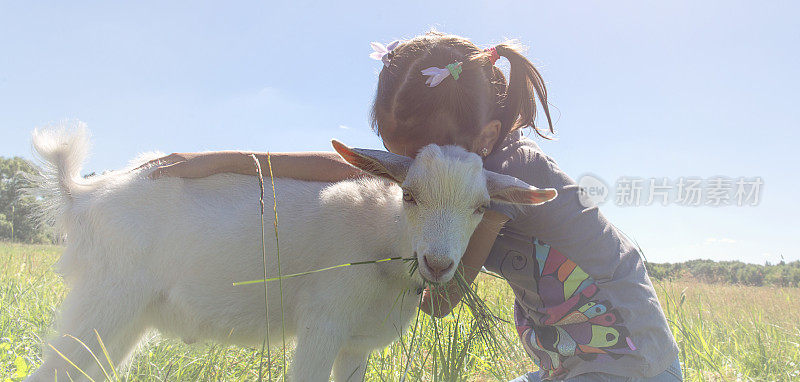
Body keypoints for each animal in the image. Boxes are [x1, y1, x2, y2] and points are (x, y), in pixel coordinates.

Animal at [25, 124, 556, 380]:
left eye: (481, 208)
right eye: (409, 195)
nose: (439, 264)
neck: (381, 234)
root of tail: (80, 194)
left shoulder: (356, 343)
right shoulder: (323, 324)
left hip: (126, 318)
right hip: (104, 299)